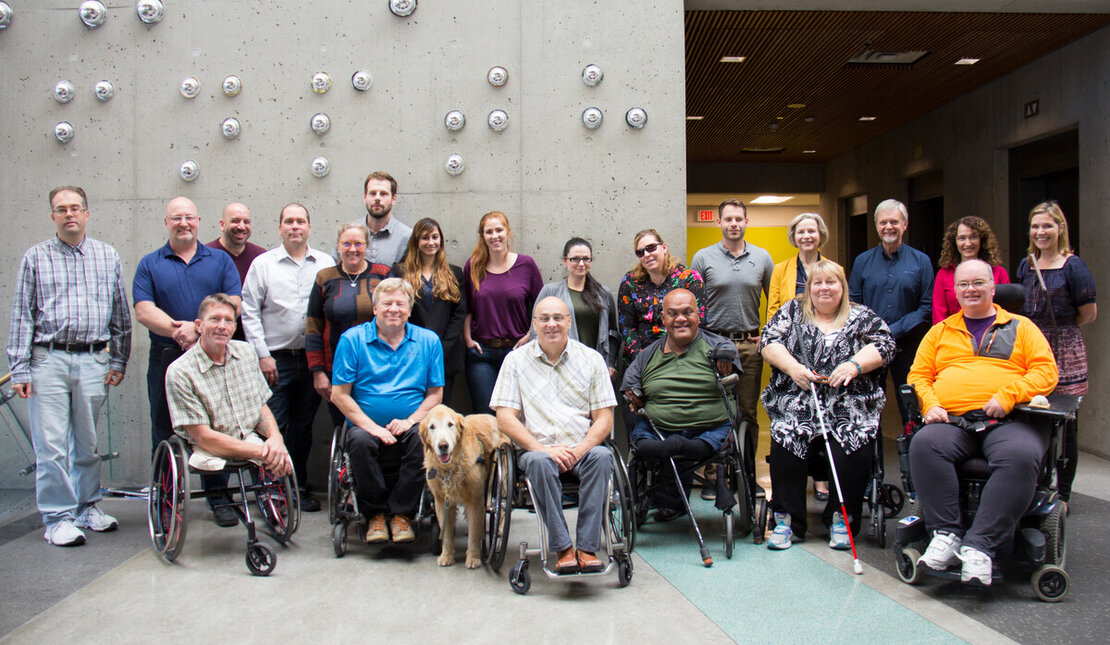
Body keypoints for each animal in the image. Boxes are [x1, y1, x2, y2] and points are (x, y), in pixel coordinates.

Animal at [417, 404, 508, 566]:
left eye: (450, 424)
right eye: (432, 427)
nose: (443, 446)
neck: (451, 469)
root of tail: (494, 417)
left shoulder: (475, 500)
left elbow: (473, 533)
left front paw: (473, 557)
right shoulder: (442, 501)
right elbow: (446, 533)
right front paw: (446, 556)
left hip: (500, 479)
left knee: (500, 506)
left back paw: (499, 528)